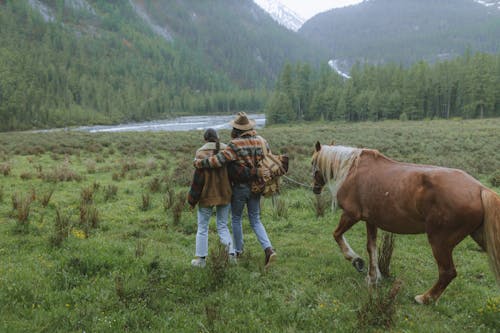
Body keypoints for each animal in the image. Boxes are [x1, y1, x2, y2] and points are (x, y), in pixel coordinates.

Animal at [312, 141, 500, 304]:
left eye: (313, 162)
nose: (315, 189)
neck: (352, 170)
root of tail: (480, 189)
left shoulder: (351, 215)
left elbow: (337, 235)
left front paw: (356, 261)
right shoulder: (371, 221)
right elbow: (371, 248)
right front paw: (372, 277)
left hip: (440, 242)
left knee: (447, 272)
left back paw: (425, 298)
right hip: (480, 236)